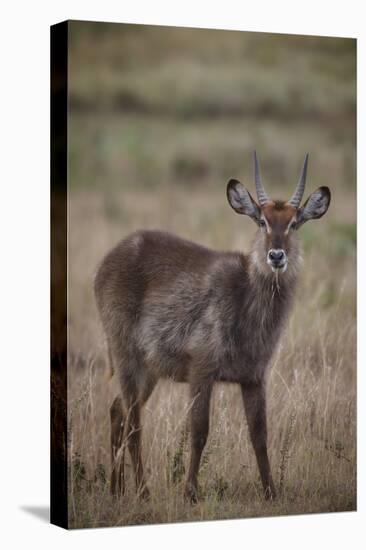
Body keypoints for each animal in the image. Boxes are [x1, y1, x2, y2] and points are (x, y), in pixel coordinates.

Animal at [94, 152, 332, 504]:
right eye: (262, 221)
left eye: (293, 222)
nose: (276, 255)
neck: (247, 305)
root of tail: (108, 260)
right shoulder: (201, 370)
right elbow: (199, 432)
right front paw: (190, 493)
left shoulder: (254, 377)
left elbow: (260, 435)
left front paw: (271, 492)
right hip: (126, 355)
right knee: (134, 424)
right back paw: (143, 492)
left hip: (149, 369)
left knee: (117, 411)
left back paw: (115, 489)